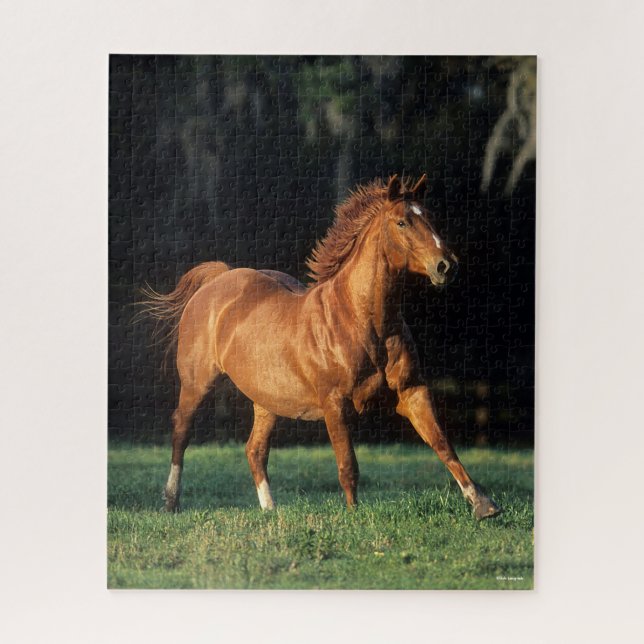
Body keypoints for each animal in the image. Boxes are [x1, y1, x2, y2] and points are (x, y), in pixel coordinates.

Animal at [142, 174, 501, 520]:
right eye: (402, 222)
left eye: (429, 217)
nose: (446, 266)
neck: (363, 319)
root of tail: (220, 278)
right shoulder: (335, 402)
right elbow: (348, 464)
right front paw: (354, 516)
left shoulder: (412, 391)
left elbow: (442, 443)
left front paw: (483, 505)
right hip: (197, 384)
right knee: (181, 431)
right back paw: (171, 503)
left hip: (267, 400)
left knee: (255, 450)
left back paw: (270, 510)